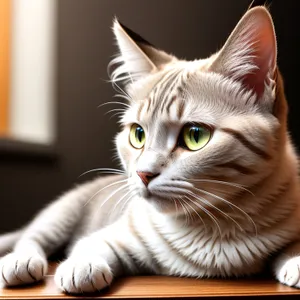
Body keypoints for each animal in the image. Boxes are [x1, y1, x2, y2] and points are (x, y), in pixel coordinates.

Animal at [0, 4, 300, 294]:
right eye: (138, 134)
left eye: (195, 136)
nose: (144, 174)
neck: (213, 228)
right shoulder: (120, 234)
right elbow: (92, 244)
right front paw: (82, 265)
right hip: (62, 214)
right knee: (31, 237)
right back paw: (20, 260)